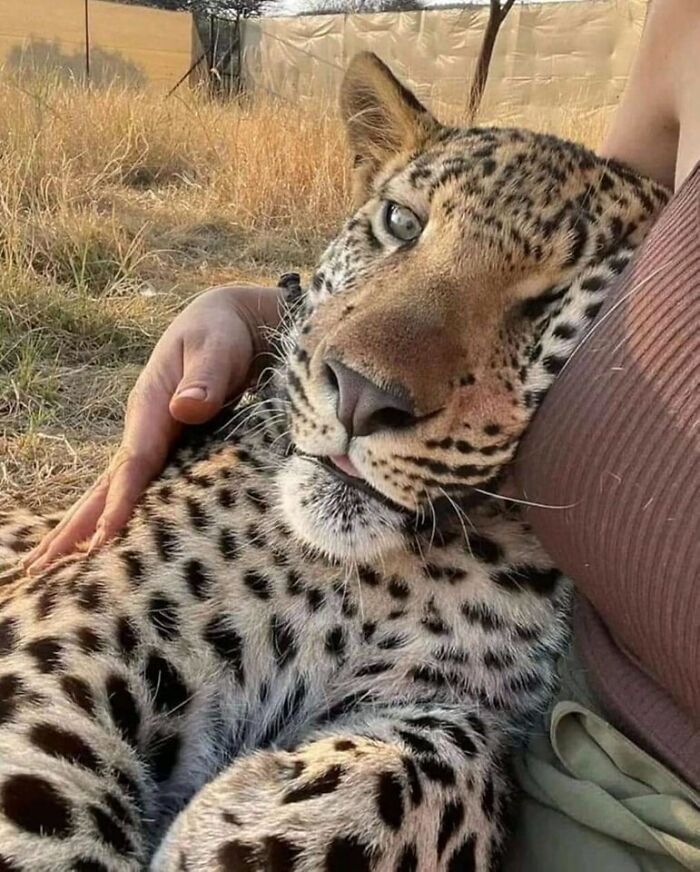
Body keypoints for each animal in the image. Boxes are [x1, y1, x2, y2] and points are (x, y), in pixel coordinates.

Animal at [0, 52, 668, 872]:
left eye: (553, 299)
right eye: (402, 223)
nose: (361, 394)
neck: (368, 578)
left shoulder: (462, 701)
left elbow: (464, 759)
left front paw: (249, 828)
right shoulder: (70, 650)